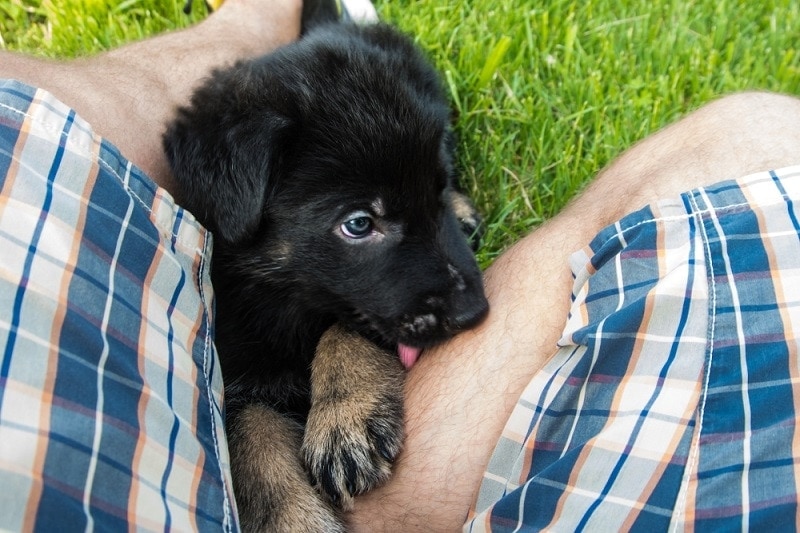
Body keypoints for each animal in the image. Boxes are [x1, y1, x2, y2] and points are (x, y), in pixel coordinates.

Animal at [163, 16, 488, 532]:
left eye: (434, 190)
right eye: (358, 224)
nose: (474, 312)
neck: (283, 296)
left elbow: (346, 327)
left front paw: (345, 416)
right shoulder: (235, 376)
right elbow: (254, 452)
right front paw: (299, 520)